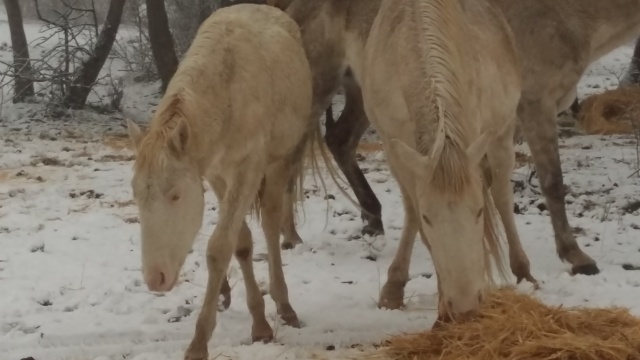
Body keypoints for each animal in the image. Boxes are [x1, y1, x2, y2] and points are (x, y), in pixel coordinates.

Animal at [125, 4, 316, 358]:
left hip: (280, 160)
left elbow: (219, 248)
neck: (226, 93)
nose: (156, 278)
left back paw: (284, 305)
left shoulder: (249, 167)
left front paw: (201, 341)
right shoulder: (215, 173)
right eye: (136, 197)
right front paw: (258, 321)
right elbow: (239, 243)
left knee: (271, 224)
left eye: (175, 195)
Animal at [360, 0, 516, 322]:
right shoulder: (395, 150)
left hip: (503, 133)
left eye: (478, 212)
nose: (467, 304)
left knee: (503, 196)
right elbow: (413, 215)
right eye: (430, 218)